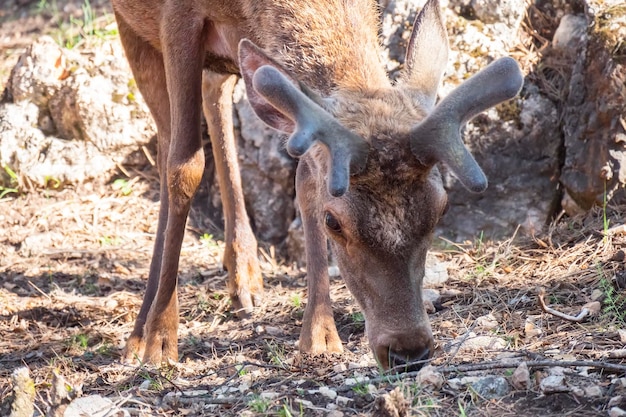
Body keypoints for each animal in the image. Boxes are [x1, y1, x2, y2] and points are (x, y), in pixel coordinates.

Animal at [112, 0, 520, 370]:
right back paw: (139, 334)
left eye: (440, 209)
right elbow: (185, 166)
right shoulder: (175, 18)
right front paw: (161, 340)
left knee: (215, 93)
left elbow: (306, 179)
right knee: (166, 144)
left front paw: (319, 337)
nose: (408, 352)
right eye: (334, 222)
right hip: (133, 27)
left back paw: (243, 274)